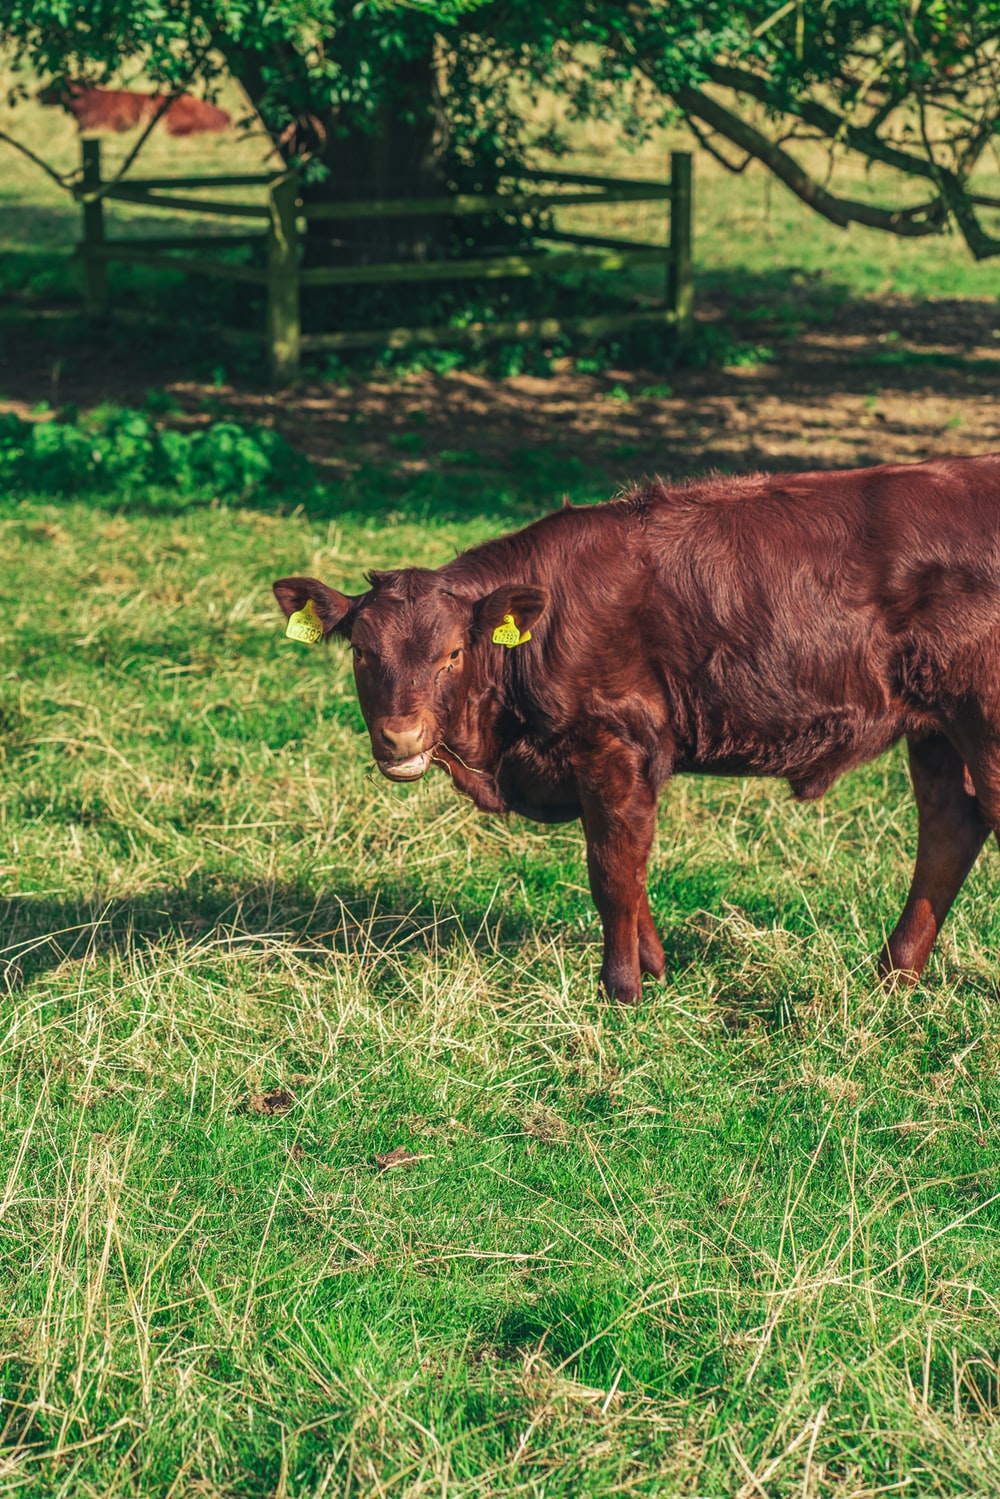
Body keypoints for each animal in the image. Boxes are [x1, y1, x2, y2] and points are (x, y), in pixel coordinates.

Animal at [274, 454, 1000, 1002]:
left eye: (452, 653)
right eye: (361, 652)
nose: (400, 736)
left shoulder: (614, 744)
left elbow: (613, 870)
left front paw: (621, 988)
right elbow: (632, 864)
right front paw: (653, 967)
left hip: (982, 719)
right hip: (936, 729)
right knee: (949, 826)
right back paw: (893, 974)